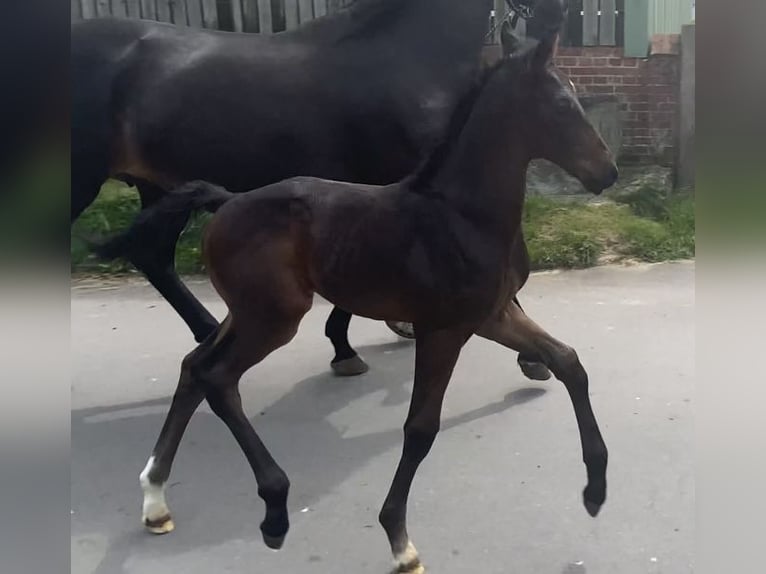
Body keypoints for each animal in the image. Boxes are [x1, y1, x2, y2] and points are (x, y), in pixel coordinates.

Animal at [72, 0, 564, 376]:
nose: (557, 17)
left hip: (156, 186)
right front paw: (532, 358)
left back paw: (209, 331)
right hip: (84, 181)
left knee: (152, 256)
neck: (405, 57)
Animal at [138, 37, 616, 574]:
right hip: (274, 319)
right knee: (218, 379)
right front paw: (399, 540)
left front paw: (595, 489)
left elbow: (568, 362)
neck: (463, 215)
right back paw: (275, 508)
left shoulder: (493, 315)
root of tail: (224, 201)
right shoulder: (442, 330)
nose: (608, 172)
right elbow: (421, 429)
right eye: (563, 104)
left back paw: (155, 498)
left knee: (194, 367)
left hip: (245, 313)